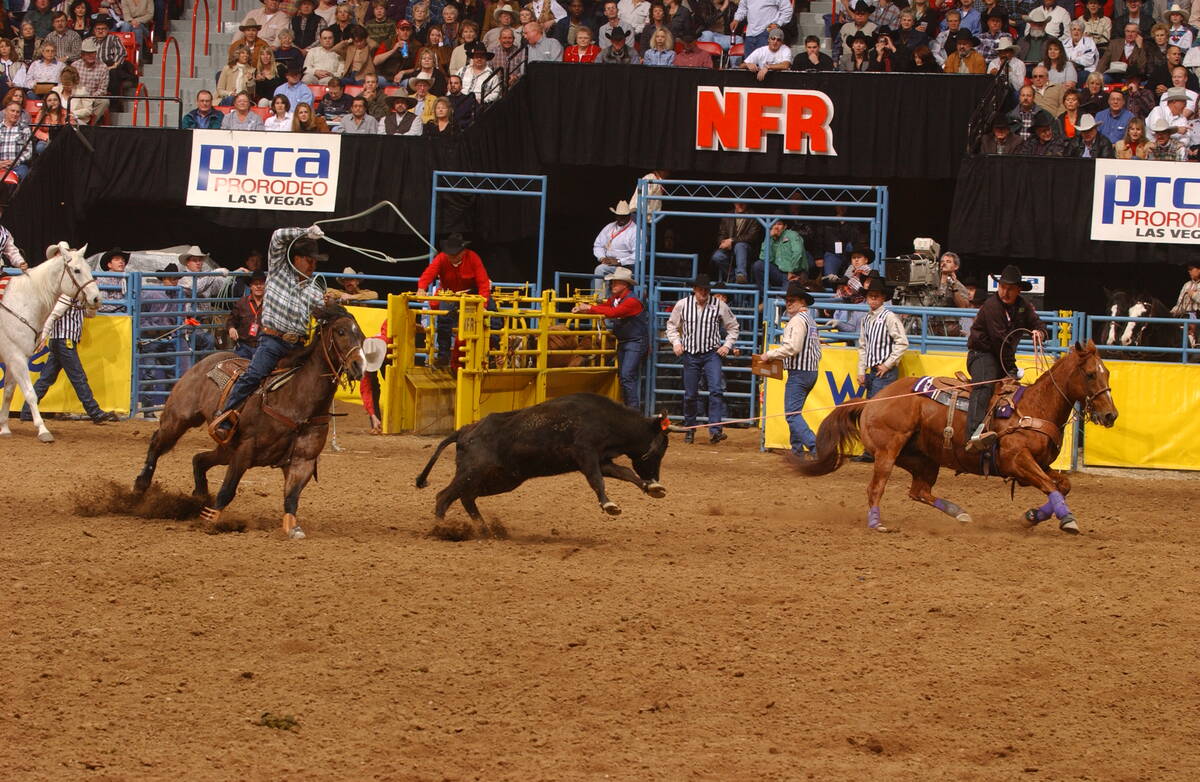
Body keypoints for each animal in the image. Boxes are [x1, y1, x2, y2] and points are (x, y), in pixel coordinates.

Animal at [0, 241, 102, 443]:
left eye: (88, 268)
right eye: (76, 270)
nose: (96, 298)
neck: (21, 303)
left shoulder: (15, 358)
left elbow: (8, 392)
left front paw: (4, 428)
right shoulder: (16, 358)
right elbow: (30, 393)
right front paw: (43, 430)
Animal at [133, 303, 362, 537]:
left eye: (361, 335)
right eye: (341, 332)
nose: (358, 366)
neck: (296, 400)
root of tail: (206, 360)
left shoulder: (303, 461)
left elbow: (291, 497)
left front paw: (292, 528)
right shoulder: (245, 450)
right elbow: (227, 490)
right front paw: (211, 521)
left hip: (226, 449)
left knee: (198, 459)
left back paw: (200, 495)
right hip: (180, 418)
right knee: (157, 442)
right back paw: (141, 485)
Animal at [417, 393, 672, 522]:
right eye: (660, 449)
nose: (656, 477)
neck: (606, 418)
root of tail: (465, 431)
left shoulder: (602, 460)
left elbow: (625, 472)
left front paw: (653, 489)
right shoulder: (586, 455)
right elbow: (597, 481)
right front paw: (609, 505)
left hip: (499, 479)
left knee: (466, 498)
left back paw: (484, 530)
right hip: (472, 472)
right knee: (444, 497)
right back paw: (442, 529)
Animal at [801, 343, 1118, 537]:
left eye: (1107, 372)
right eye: (1091, 374)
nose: (1111, 415)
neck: (1034, 407)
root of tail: (874, 399)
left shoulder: (1039, 465)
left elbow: (1062, 485)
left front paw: (1031, 516)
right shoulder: (1018, 461)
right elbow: (1052, 486)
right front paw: (1068, 520)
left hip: (923, 459)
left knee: (919, 491)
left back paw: (960, 514)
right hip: (887, 452)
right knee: (876, 488)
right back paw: (876, 523)